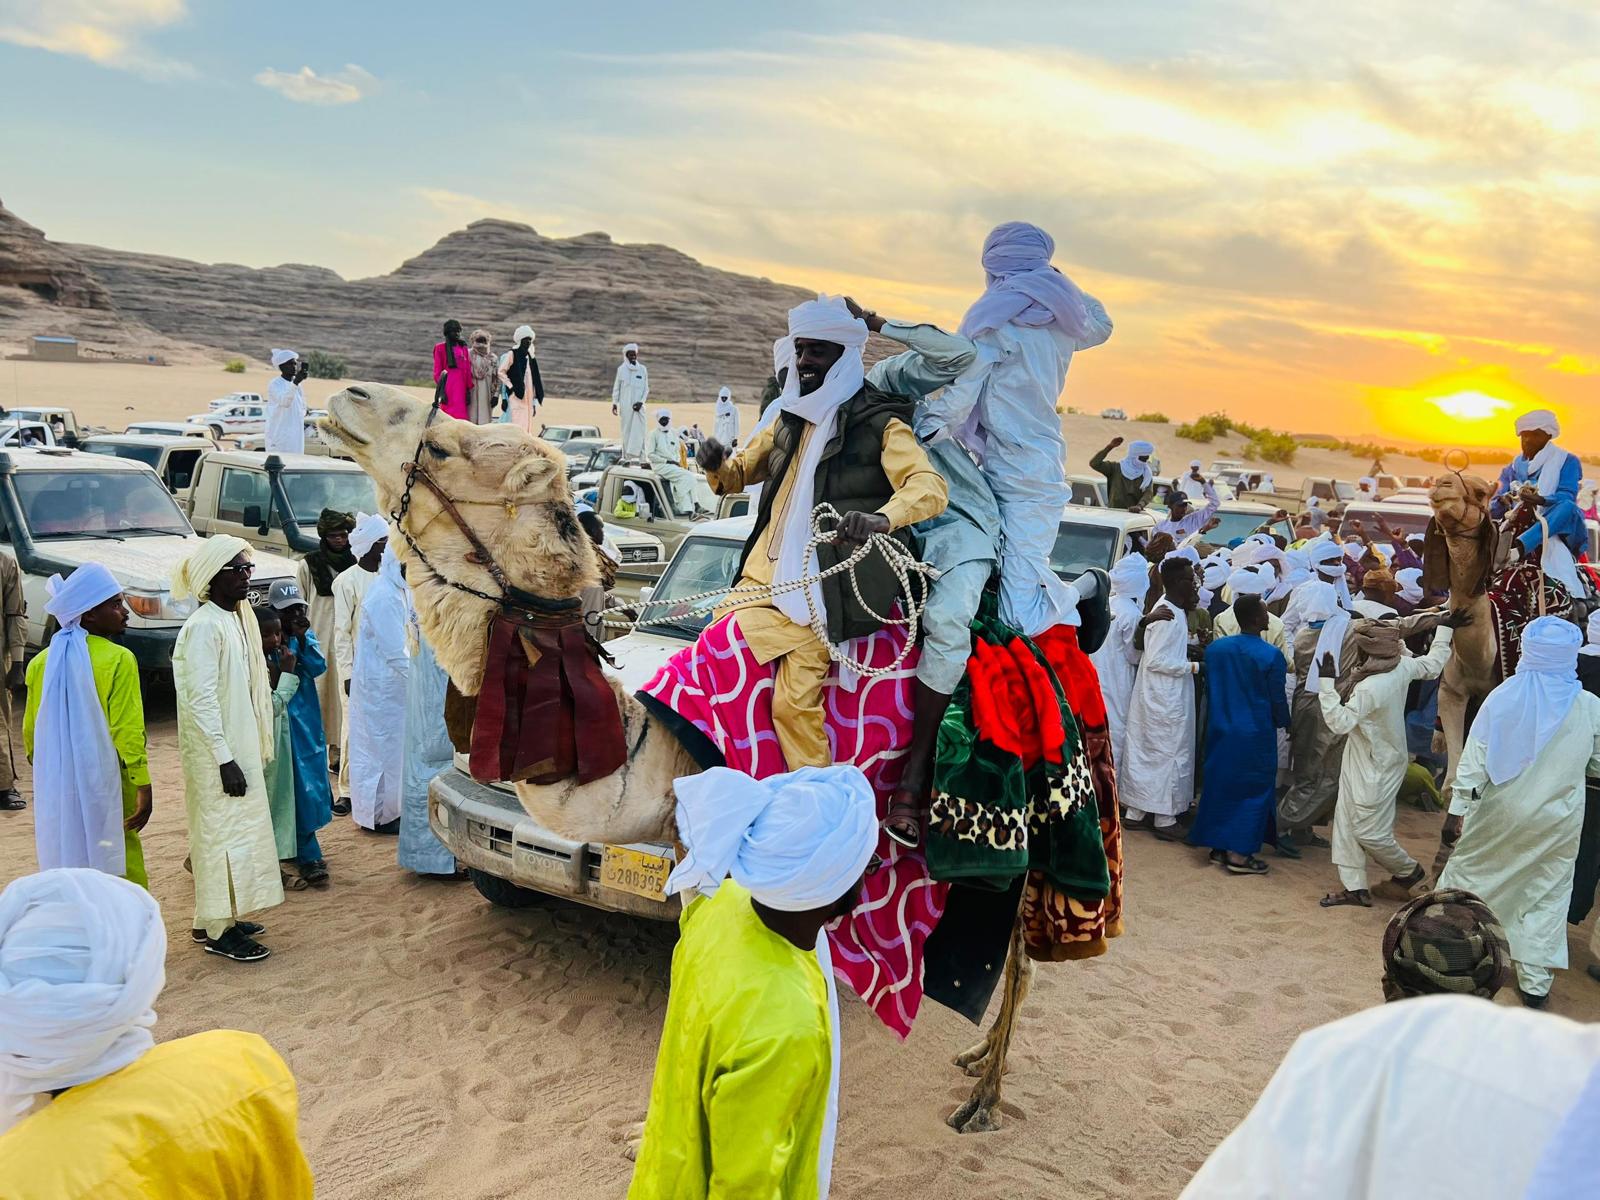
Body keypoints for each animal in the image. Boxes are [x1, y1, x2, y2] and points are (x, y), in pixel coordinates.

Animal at [318, 382, 1030, 1139]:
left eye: (445, 447)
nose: (348, 397)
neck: (652, 740)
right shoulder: (687, 850)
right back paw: (974, 1062)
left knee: (1024, 958)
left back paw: (984, 1099)